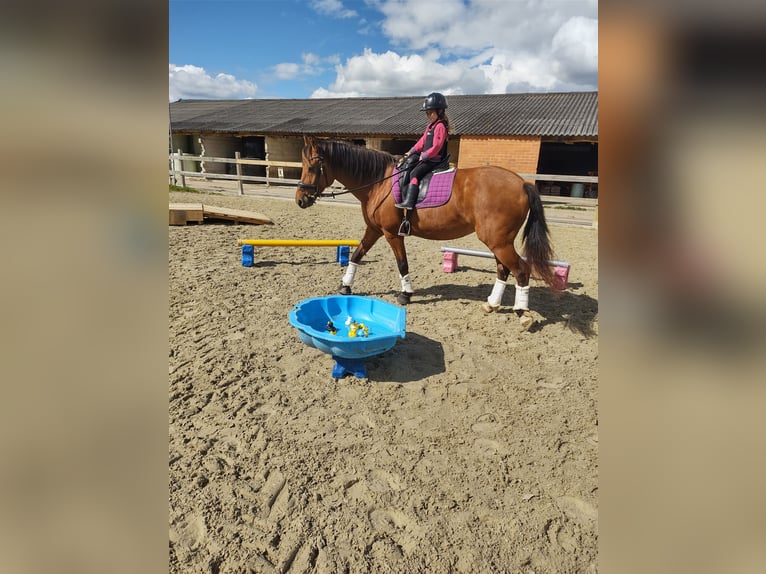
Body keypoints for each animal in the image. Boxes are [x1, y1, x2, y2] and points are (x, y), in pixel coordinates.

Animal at [295, 135, 559, 325]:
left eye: (313, 165)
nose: (300, 200)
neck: (379, 183)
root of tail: (522, 183)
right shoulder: (373, 230)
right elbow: (356, 255)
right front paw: (345, 286)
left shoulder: (392, 234)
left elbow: (402, 264)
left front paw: (406, 294)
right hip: (498, 242)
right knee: (503, 270)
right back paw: (491, 304)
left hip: (499, 242)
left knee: (521, 270)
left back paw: (522, 314)